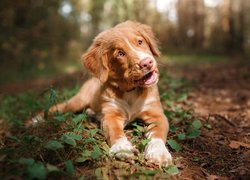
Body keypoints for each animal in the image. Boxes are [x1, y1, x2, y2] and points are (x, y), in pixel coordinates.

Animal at [43, 20, 173, 166]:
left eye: (140, 42)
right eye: (120, 54)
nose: (147, 63)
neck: (131, 91)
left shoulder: (156, 114)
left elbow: (158, 134)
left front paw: (159, 152)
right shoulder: (111, 115)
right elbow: (115, 132)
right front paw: (121, 148)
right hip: (77, 102)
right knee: (56, 108)